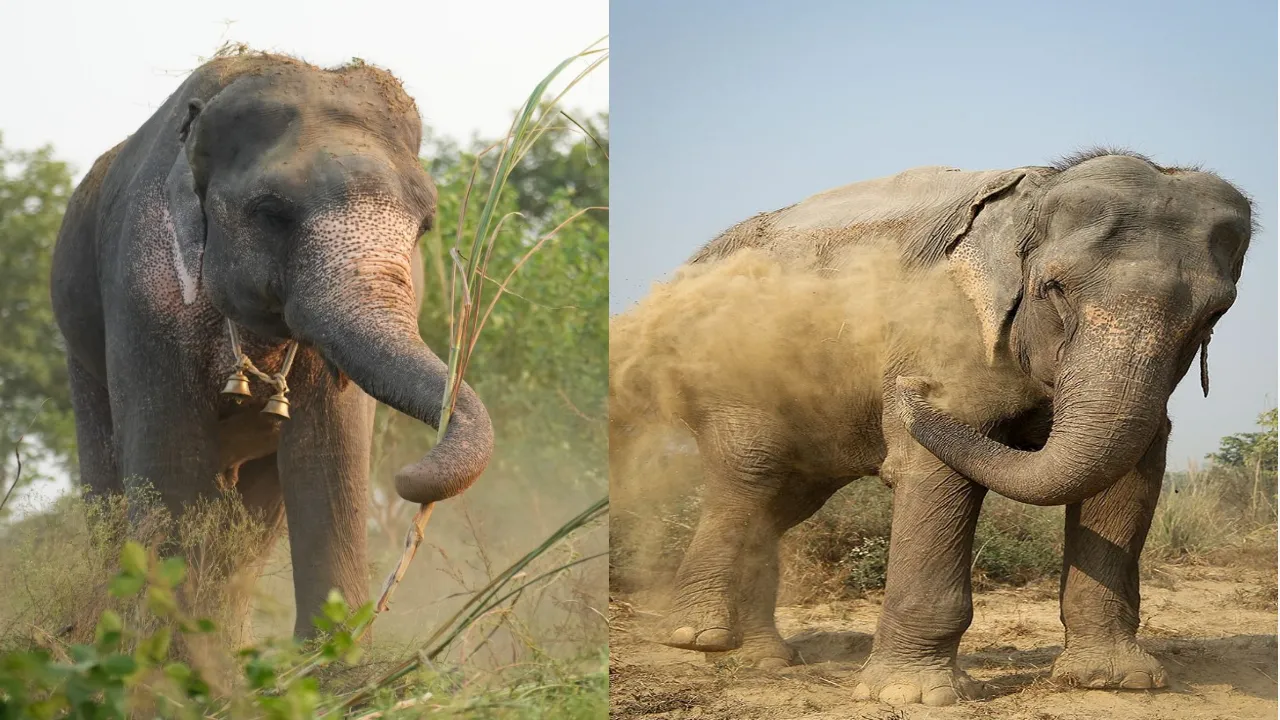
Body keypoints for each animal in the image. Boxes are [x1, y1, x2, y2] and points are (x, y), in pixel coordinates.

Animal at [49, 52, 494, 641]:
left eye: (425, 227)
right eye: (271, 212)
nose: (407, 478)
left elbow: (332, 451)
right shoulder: (143, 289)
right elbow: (167, 466)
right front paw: (166, 658)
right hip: (80, 349)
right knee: (106, 485)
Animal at [608, 150, 1252, 706]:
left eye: (1213, 314)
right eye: (1055, 289)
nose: (906, 389)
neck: (1038, 192)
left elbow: (1130, 472)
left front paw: (1116, 682)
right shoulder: (944, 328)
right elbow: (933, 470)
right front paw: (910, 695)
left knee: (784, 500)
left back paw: (763, 658)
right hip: (730, 373)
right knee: (753, 476)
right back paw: (700, 639)